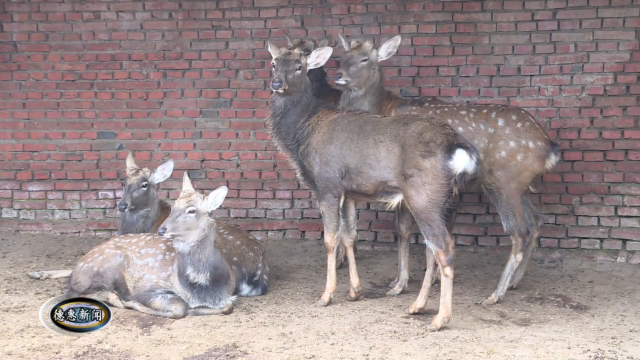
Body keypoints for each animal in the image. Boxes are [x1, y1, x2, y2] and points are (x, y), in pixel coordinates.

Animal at [62, 173, 268, 320]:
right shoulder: (148, 287)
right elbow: (180, 308)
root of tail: (78, 268)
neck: (203, 289)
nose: (162, 229)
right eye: (174, 205)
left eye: (191, 210)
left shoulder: (227, 295)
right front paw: (134, 304)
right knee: (74, 292)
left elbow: (227, 307)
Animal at [264, 40, 480, 330]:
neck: (301, 136)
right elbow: (350, 236)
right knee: (432, 249)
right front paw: (355, 290)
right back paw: (417, 306)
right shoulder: (349, 192)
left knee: (444, 248)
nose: (276, 83)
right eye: (274, 63)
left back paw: (440, 318)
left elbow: (331, 239)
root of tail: (458, 148)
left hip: (423, 195)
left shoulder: (328, 184)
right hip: (440, 199)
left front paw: (327, 295)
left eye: (299, 66)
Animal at [336, 32, 560, 306]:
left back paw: (495, 293)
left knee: (520, 231)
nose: (340, 75)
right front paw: (399, 280)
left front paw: (400, 284)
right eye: (343, 56)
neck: (383, 109)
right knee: (537, 221)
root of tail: (547, 147)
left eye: (364, 59)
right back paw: (515, 282)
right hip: (521, 186)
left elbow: (404, 231)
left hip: (503, 182)